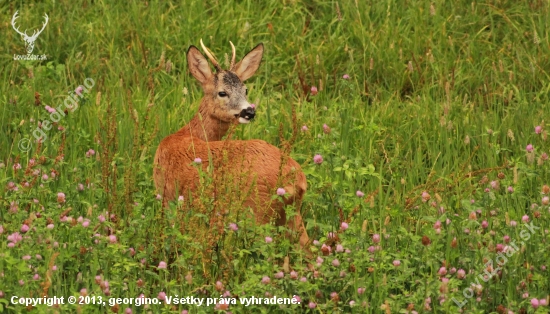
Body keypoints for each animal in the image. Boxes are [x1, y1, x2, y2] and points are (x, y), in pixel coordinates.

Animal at [154, 41, 310, 248]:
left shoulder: (167, 197)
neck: (186, 134)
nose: (249, 111)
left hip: (256, 211)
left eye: (245, 90)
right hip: (292, 214)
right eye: (222, 92)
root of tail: (296, 178)